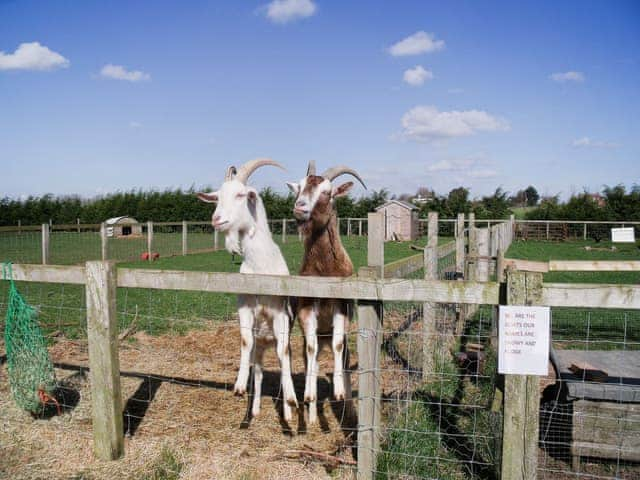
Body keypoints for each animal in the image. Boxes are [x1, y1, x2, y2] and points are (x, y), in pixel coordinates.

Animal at [198, 159, 298, 422]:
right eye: (217, 197)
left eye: (241, 194)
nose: (216, 219)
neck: (261, 268)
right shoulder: (244, 306)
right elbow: (244, 341)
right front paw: (240, 385)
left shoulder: (280, 313)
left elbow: (284, 354)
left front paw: (291, 399)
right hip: (261, 345)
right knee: (260, 372)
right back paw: (254, 409)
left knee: (283, 358)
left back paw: (288, 409)